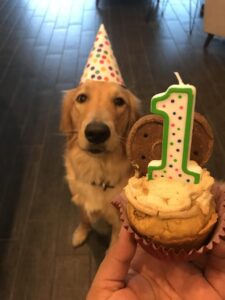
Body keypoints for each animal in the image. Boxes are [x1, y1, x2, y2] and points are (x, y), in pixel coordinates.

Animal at [60, 81, 140, 247]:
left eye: (119, 101)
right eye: (81, 98)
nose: (97, 133)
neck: (98, 169)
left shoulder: (118, 222)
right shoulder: (80, 199)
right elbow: (84, 218)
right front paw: (81, 232)